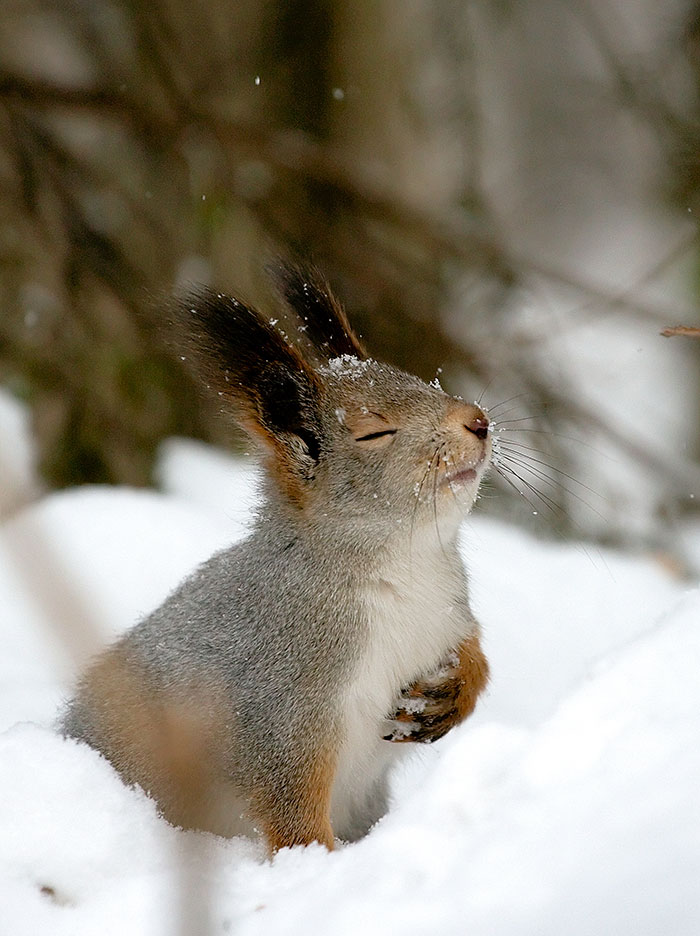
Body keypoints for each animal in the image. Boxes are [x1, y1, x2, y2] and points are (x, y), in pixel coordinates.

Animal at [60, 262, 490, 848]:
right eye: (375, 432)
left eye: (423, 381)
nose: (479, 421)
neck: (406, 565)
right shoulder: (282, 701)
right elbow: (291, 804)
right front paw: (315, 861)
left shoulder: (447, 614)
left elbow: (474, 653)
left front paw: (455, 692)